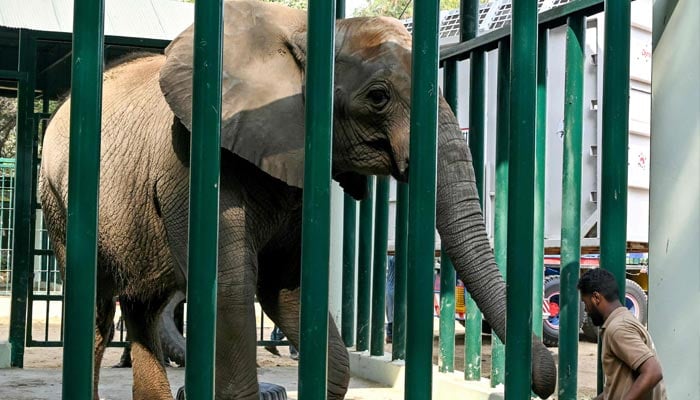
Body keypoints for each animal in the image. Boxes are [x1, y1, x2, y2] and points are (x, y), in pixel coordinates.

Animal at [38, 1, 556, 398]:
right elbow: (231, 290)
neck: (299, 36)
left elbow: (286, 288)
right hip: (60, 201)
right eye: (379, 97)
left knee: (144, 309)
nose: (544, 384)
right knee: (99, 314)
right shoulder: (186, 162)